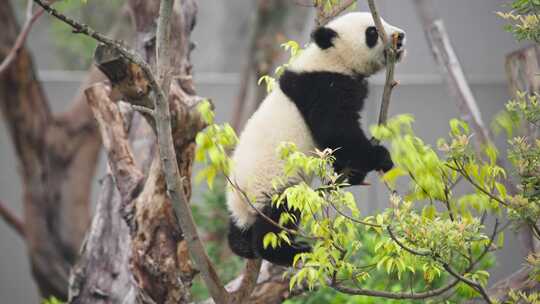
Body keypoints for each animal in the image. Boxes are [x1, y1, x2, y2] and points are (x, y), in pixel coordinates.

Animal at [226, 11, 408, 266]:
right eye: (372, 31)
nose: (400, 36)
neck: (330, 58)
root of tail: (241, 208)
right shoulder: (323, 87)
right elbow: (336, 131)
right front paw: (379, 157)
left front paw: (351, 173)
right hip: (272, 187)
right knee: (278, 219)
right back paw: (288, 250)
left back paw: (241, 245)